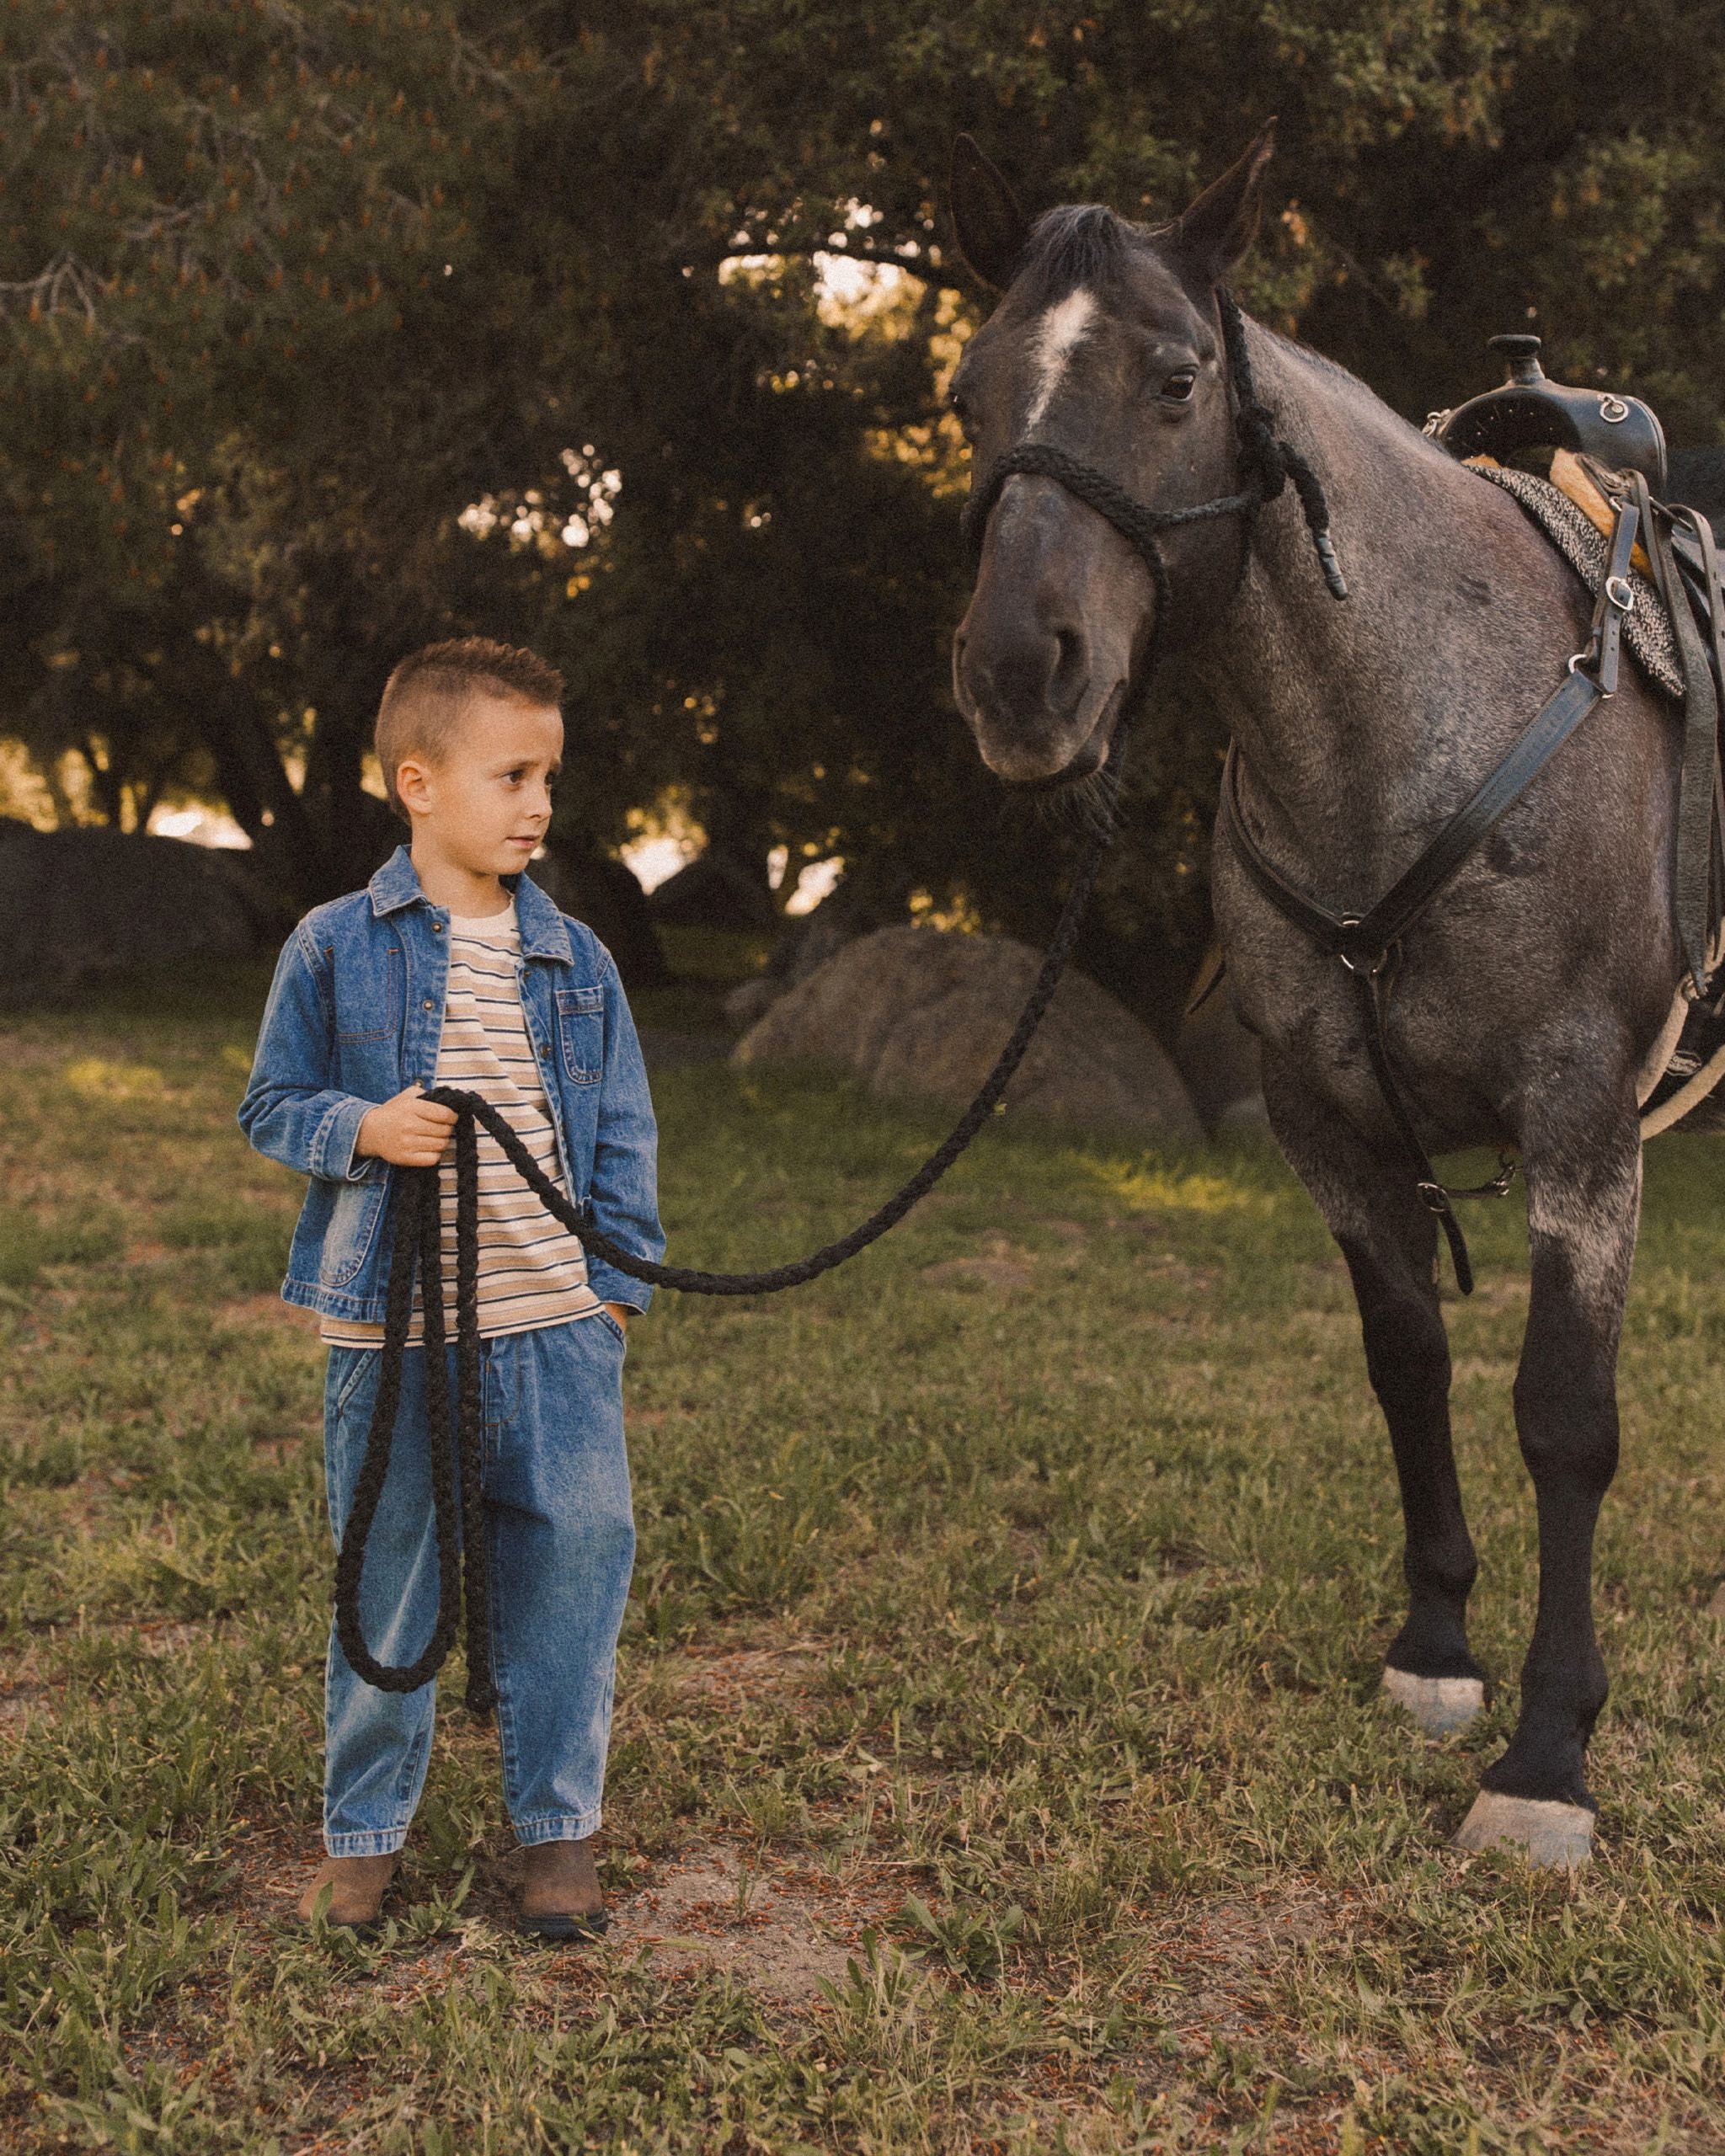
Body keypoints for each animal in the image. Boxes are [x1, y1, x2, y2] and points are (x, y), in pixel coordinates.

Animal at [944, 130, 1707, 1871]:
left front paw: (1546, 1756)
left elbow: (1563, 1416)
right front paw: (1434, 1651)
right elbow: (1405, 1359)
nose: (1020, 673)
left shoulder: (1581, 1120)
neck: (1417, 724)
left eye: (1173, 378)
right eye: (966, 393)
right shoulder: (1324, 1118)